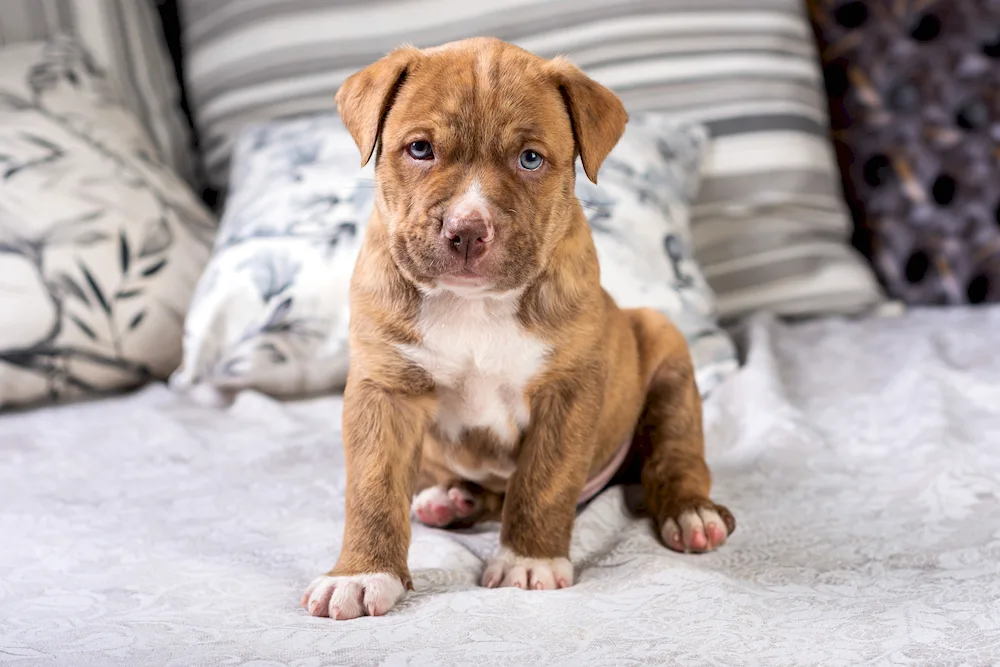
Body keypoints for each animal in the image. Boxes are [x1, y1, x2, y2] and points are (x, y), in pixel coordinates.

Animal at [300, 36, 732, 620]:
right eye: (420, 149)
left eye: (530, 158)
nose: (467, 230)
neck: (473, 305)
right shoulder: (384, 389)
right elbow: (372, 488)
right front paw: (361, 574)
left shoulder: (567, 391)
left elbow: (543, 480)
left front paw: (529, 562)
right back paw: (450, 498)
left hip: (664, 350)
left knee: (675, 453)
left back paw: (692, 514)